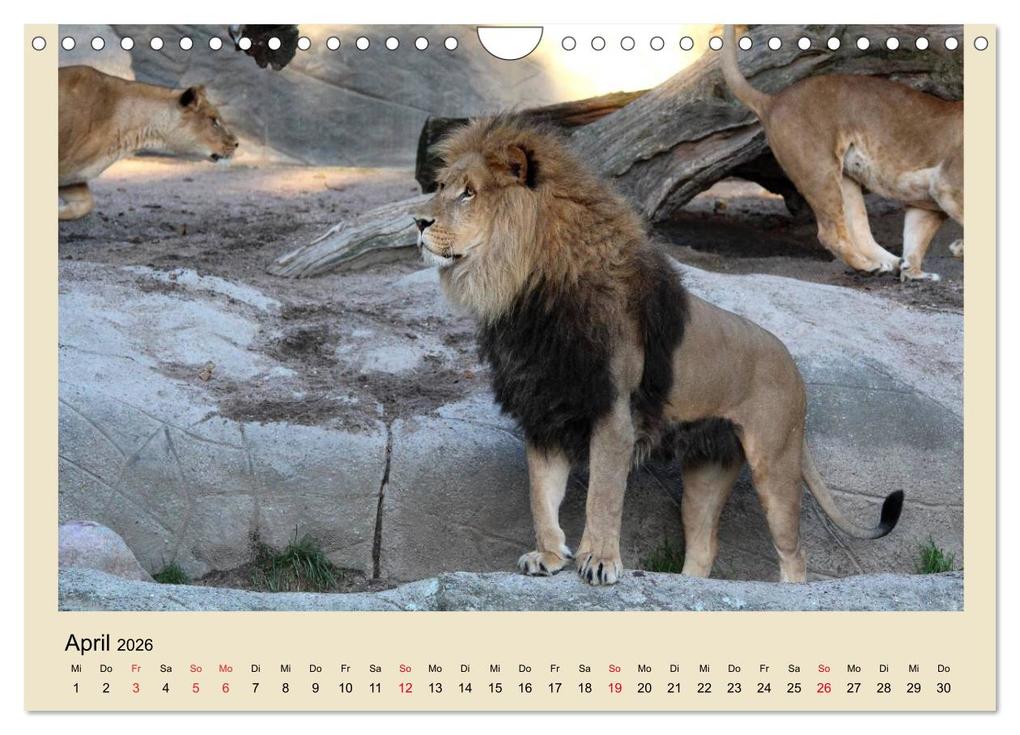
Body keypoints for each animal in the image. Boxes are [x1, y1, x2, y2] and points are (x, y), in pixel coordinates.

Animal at [412, 116, 903, 585]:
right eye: (441, 187)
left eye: (469, 193)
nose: (417, 223)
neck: (526, 292)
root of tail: (793, 365)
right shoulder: (545, 412)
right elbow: (541, 495)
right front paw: (548, 556)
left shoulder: (613, 413)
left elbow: (603, 496)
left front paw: (599, 562)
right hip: (707, 469)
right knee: (704, 547)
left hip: (775, 460)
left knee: (793, 553)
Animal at [722, 26, 963, 282]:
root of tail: (773, 100)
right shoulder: (948, 187)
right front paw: (959, 248)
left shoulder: (929, 203)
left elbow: (916, 240)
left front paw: (915, 273)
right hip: (819, 171)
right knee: (830, 234)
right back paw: (869, 266)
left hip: (845, 180)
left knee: (859, 231)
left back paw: (890, 263)